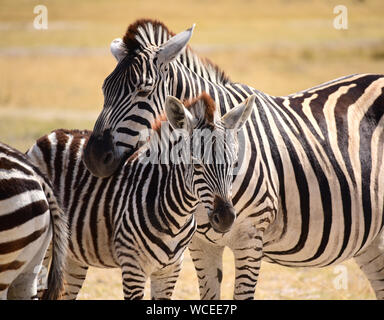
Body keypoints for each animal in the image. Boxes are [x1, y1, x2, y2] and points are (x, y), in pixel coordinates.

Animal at [82, 19, 384, 300]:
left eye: (143, 91)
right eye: (104, 89)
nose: (92, 157)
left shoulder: (250, 238)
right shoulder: (201, 243)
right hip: (371, 241)